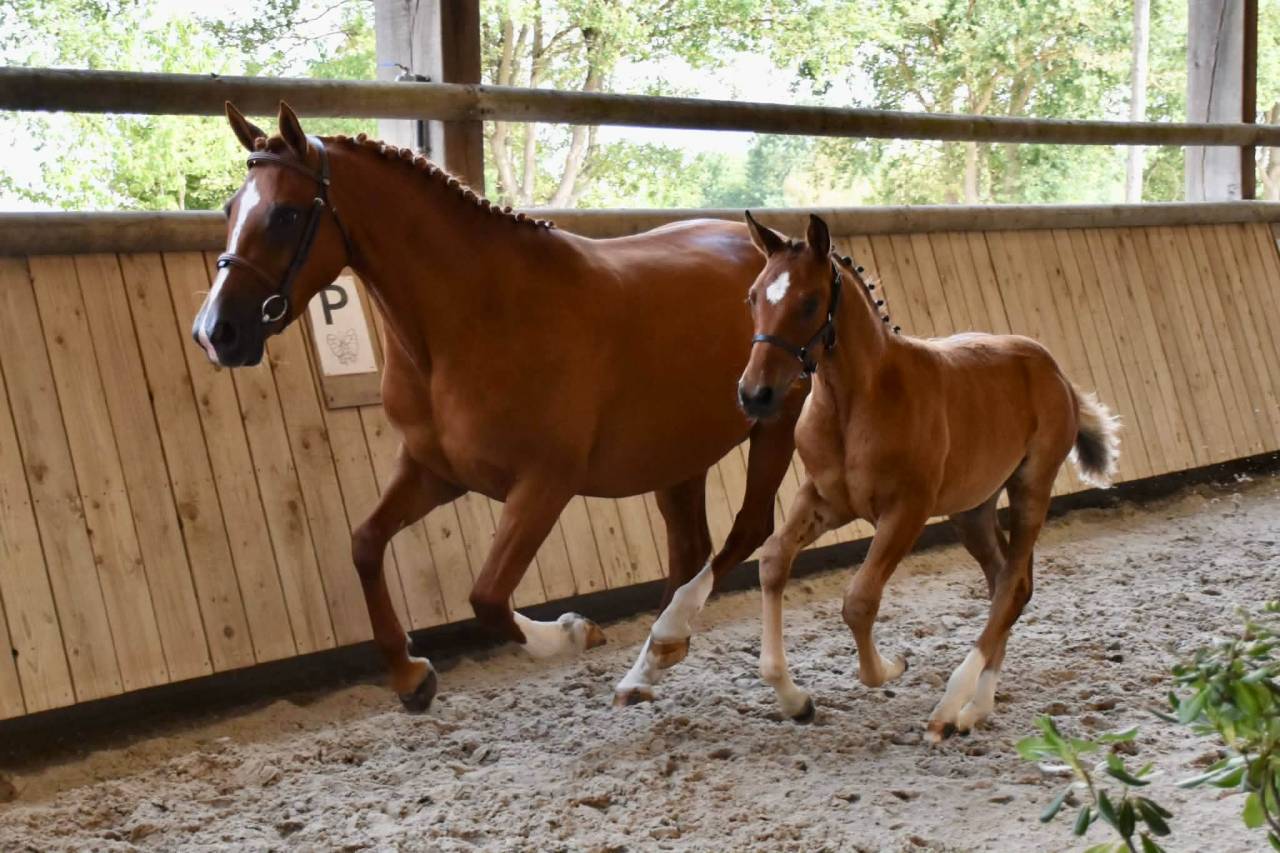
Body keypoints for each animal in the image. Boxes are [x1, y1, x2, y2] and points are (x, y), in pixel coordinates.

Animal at [192, 101, 804, 712]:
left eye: (286, 215)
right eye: (230, 208)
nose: (216, 333)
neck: (475, 317)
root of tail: (772, 246)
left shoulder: (544, 484)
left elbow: (486, 596)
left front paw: (573, 632)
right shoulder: (435, 472)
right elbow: (365, 544)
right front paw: (410, 676)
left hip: (773, 425)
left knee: (747, 530)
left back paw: (665, 640)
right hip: (677, 455)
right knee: (691, 548)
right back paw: (649, 664)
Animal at [737, 212, 1120, 740]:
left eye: (809, 301)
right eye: (753, 296)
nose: (755, 395)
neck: (855, 401)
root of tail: (1055, 370)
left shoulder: (906, 511)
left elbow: (859, 600)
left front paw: (891, 666)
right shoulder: (825, 499)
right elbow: (774, 561)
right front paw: (795, 700)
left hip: (1031, 487)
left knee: (1010, 587)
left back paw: (951, 708)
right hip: (972, 509)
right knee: (1008, 582)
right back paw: (978, 706)